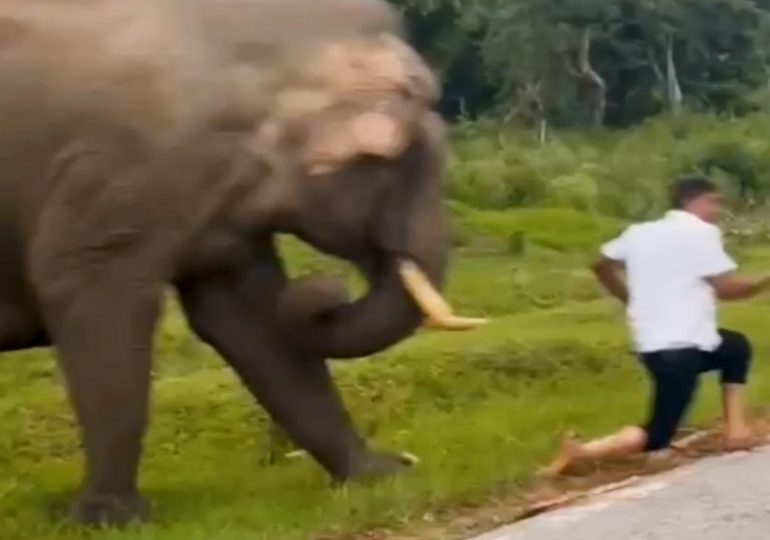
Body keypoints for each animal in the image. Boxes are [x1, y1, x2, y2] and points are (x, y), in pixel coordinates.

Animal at [0, 0, 486, 527]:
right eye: (402, 169)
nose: (325, 291)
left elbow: (247, 321)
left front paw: (379, 475)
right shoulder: (112, 178)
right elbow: (92, 300)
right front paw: (111, 520)